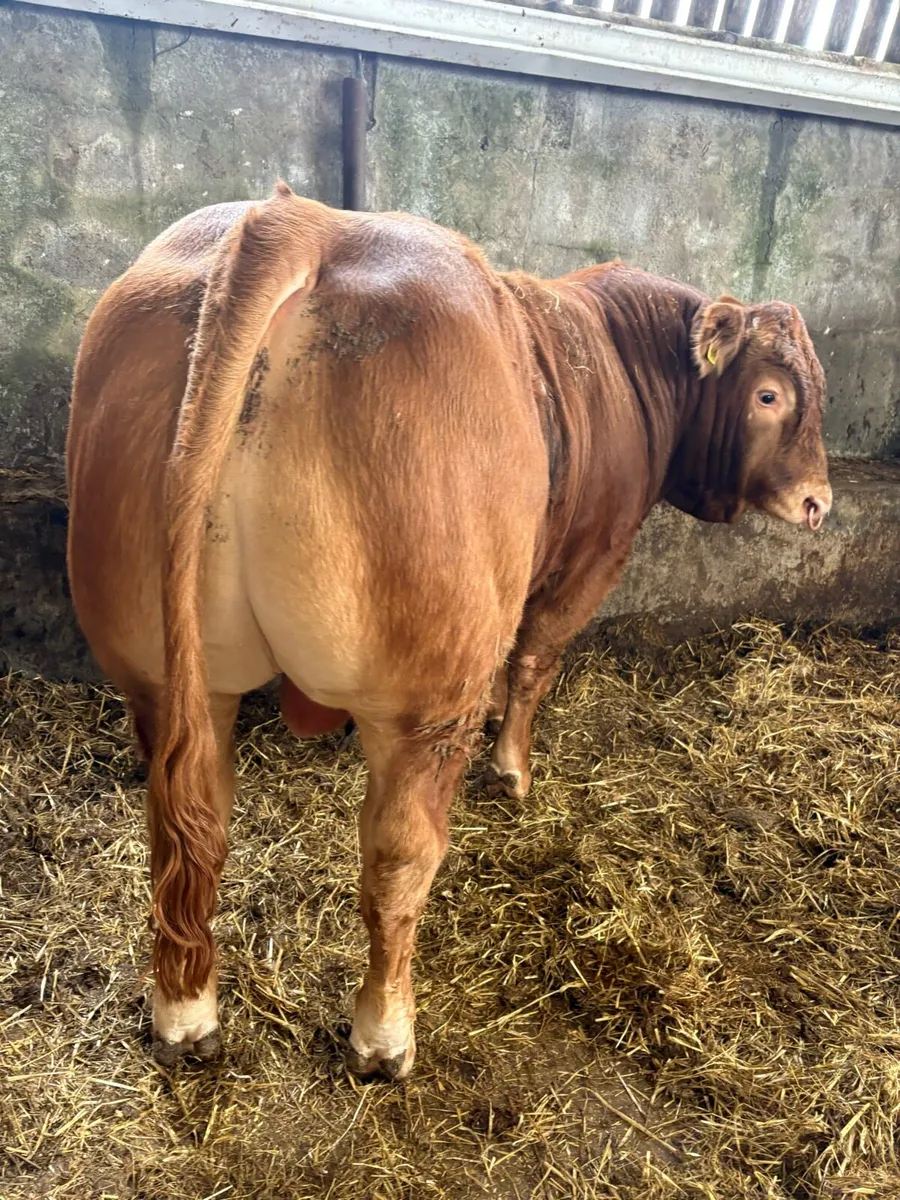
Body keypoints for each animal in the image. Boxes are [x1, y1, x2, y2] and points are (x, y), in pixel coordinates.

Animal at [66, 182, 831, 1080]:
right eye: (770, 394)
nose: (819, 502)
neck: (613, 359)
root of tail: (300, 220)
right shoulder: (592, 558)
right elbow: (533, 660)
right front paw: (513, 770)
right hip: (425, 701)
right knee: (399, 859)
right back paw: (385, 1035)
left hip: (166, 678)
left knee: (186, 825)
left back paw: (186, 1014)